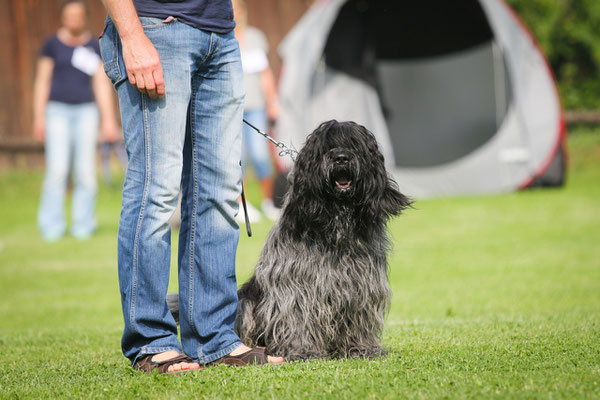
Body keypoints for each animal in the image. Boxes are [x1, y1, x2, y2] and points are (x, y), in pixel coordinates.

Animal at [169, 120, 412, 360]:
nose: (341, 157)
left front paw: (361, 348)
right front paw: (303, 351)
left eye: (355, 145)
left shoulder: (361, 282)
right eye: (326, 147)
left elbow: (358, 315)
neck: (337, 220)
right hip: (246, 302)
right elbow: (298, 316)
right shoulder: (295, 285)